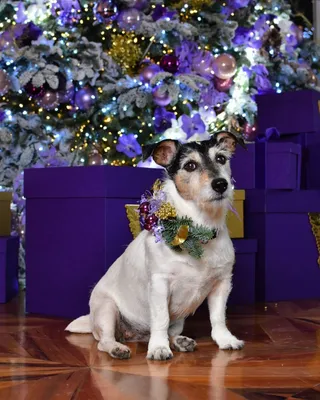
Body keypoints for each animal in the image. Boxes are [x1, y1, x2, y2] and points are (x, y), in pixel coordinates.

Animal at [65, 132, 245, 362]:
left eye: (221, 159)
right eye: (190, 165)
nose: (221, 184)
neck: (199, 229)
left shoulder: (221, 284)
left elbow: (218, 317)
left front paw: (225, 339)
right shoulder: (160, 285)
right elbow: (160, 319)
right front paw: (158, 348)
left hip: (178, 321)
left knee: (169, 331)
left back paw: (179, 341)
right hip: (106, 309)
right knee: (104, 341)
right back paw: (118, 348)